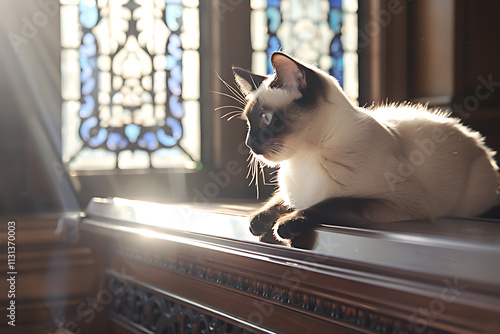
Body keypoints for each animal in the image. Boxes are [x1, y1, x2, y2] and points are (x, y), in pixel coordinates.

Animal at [232, 51, 498, 243]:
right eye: (248, 123)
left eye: (266, 119)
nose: (249, 143)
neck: (303, 159)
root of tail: (473, 137)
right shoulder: (290, 193)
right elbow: (277, 200)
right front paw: (258, 221)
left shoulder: (400, 202)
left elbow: (330, 203)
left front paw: (286, 224)